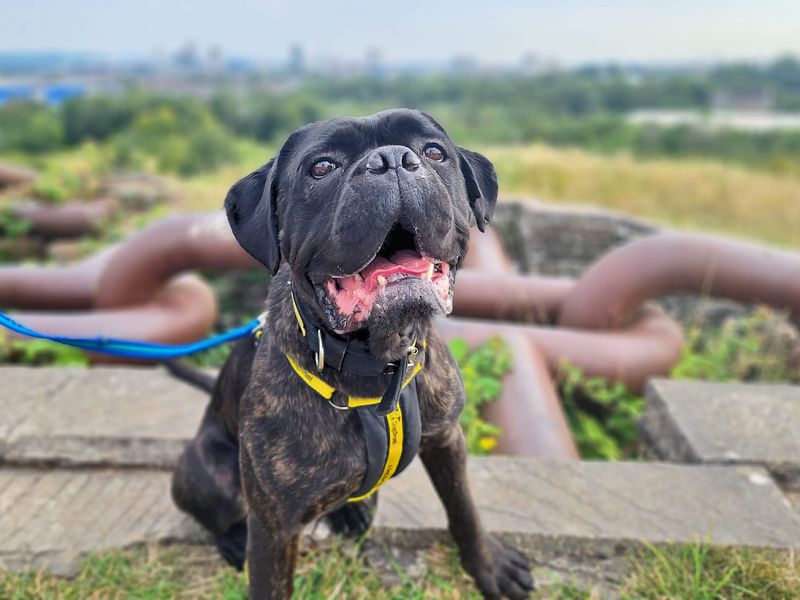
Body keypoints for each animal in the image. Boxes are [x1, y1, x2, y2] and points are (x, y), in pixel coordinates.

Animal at [169, 109, 532, 600]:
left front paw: (488, 565)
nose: (392, 159)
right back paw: (231, 539)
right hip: (204, 472)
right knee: (219, 512)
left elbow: (464, 510)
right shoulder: (274, 528)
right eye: (322, 167)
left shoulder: (447, 441)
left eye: (434, 151)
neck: (378, 362)